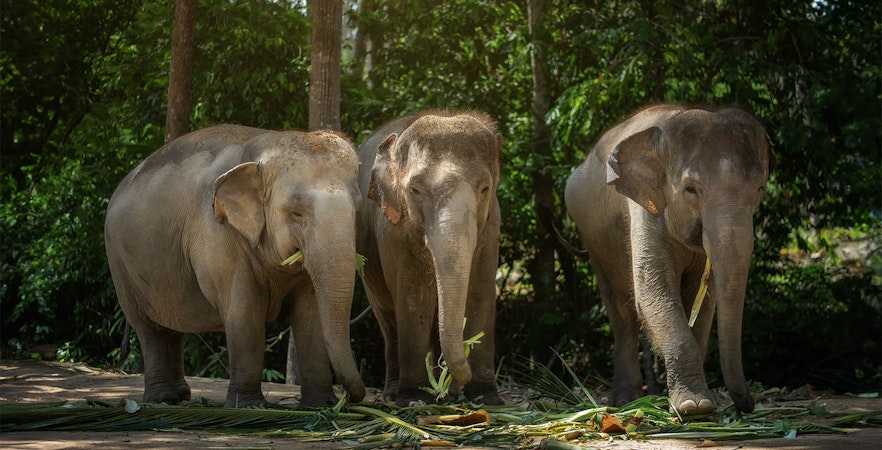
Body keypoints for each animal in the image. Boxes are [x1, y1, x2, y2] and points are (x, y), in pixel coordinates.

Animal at [105, 124, 366, 408]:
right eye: (296, 213)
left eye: (357, 208)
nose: (351, 399)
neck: (259, 148)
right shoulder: (216, 233)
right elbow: (244, 313)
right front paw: (249, 405)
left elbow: (311, 315)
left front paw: (321, 405)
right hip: (120, 264)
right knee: (149, 329)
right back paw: (162, 398)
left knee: (172, 328)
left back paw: (181, 395)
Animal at [356, 111, 504, 406]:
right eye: (414, 190)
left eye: (484, 188)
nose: (457, 374)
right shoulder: (392, 231)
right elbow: (413, 300)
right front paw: (413, 398)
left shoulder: (491, 225)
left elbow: (481, 294)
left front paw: (486, 399)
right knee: (388, 319)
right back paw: (397, 394)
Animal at [564, 105, 774, 415]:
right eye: (691, 189)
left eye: (760, 188)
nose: (748, 405)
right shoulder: (644, 208)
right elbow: (653, 291)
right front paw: (694, 406)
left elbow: (705, 302)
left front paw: (695, 401)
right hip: (592, 237)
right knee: (620, 309)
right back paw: (625, 401)